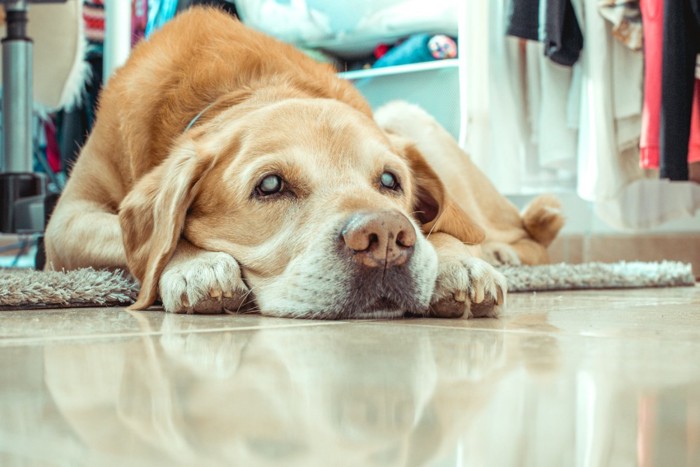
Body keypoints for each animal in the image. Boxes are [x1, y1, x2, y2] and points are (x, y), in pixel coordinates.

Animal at [45, 7, 564, 320]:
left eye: (390, 180)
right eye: (270, 185)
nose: (385, 238)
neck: (236, 89)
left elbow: (438, 229)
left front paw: (459, 264)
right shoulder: (65, 221)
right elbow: (156, 243)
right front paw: (196, 265)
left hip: (408, 118)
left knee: (522, 233)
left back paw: (500, 253)